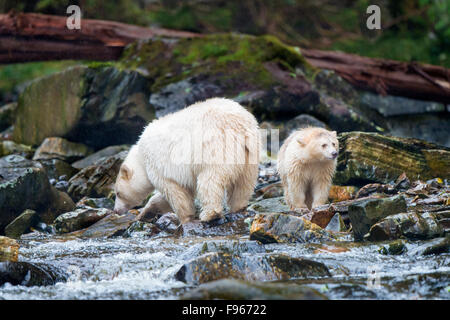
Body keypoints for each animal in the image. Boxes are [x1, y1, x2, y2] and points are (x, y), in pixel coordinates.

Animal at [113, 97, 260, 222]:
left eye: (118, 193)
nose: (116, 210)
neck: (141, 157)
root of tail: (240, 127)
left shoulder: (158, 166)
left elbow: (174, 192)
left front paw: (185, 218)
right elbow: (165, 197)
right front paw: (145, 213)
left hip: (215, 149)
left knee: (210, 180)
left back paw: (209, 214)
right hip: (250, 154)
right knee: (244, 183)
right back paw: (238, 207)